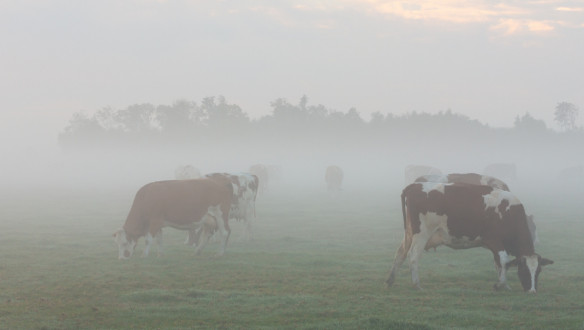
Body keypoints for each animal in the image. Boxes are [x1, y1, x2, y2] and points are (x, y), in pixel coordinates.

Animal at [388, 182, 552, 292]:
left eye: (538, 271)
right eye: (524, 270)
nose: (532, 291)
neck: (508, 212)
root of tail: (414, 186)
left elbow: (499, 264)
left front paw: (503, 284)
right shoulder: (494, 240)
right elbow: (504, 261)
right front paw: (501, 284)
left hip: (410, 233)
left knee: (400, 253)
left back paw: (391, 279)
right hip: (422, 234)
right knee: (413, 256)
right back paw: (416, 284)